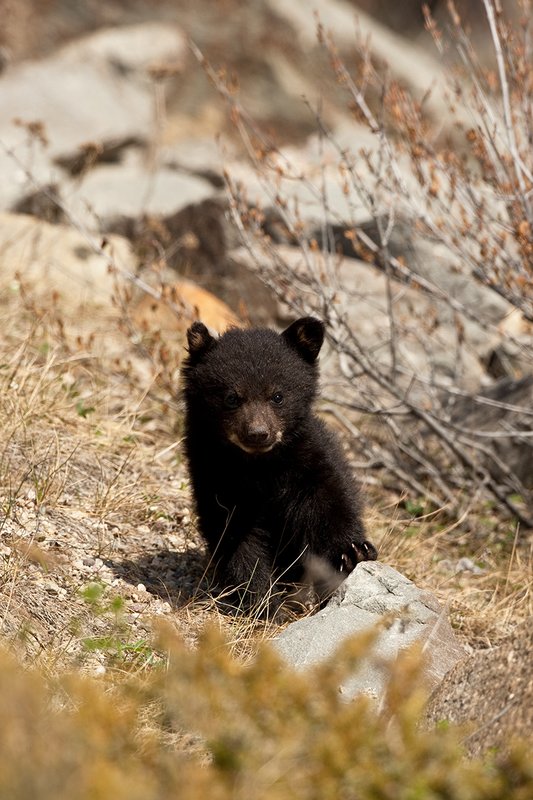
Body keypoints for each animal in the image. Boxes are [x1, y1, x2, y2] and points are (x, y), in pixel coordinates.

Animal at [181, 316, 377, 615]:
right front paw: (261, 600)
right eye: (231, 397)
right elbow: (234, 533)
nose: (258, 434)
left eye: (277, 396)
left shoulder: (308, 463)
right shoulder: (216, 474)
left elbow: (330, 506)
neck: (261, 466)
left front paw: (354, 552)